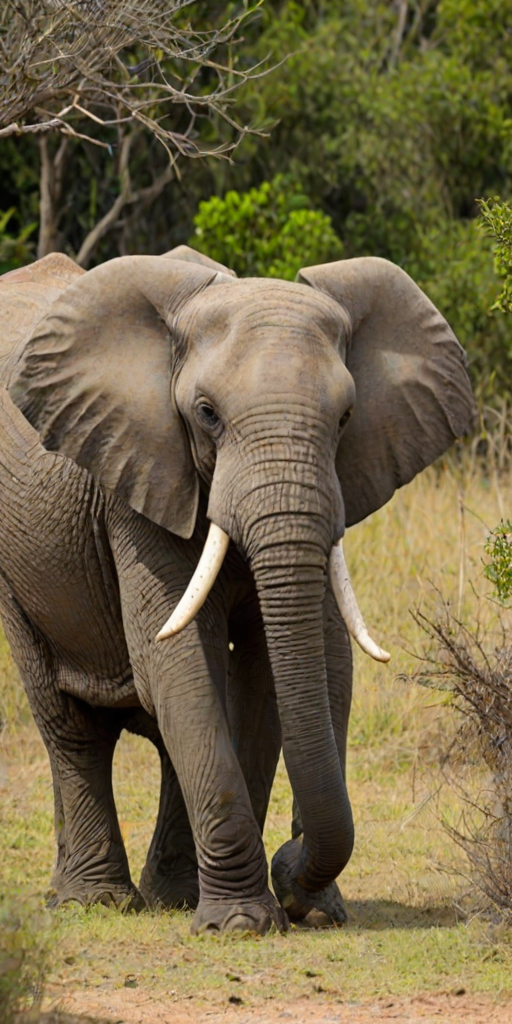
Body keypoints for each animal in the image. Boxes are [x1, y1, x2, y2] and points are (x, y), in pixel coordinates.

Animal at [0, 245, 475, 934]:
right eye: (207, 414)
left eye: (346, 417)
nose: (291, 863)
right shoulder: (137, 481)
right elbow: (176, 658)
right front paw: (241, 925)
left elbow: (290, 666)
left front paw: (295, 909)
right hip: (18, 569)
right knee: (71, 725)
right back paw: (95, 901)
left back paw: (172, 896)